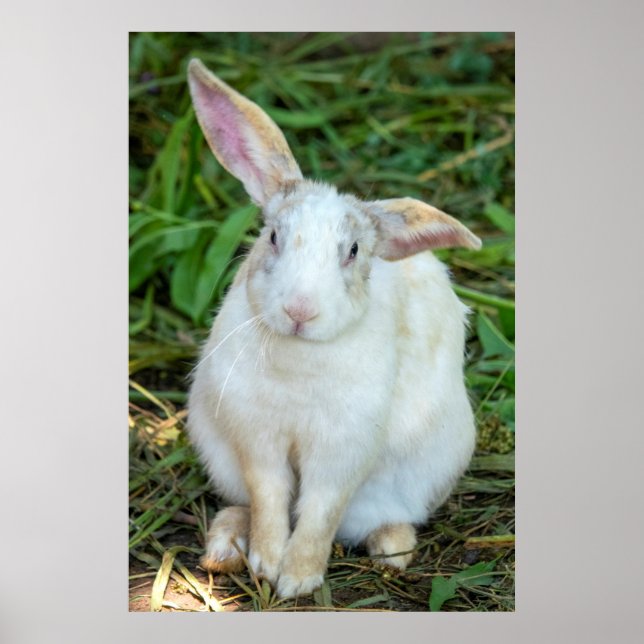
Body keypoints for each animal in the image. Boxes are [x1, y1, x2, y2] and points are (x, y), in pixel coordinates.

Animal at [185, 58, 482, 599]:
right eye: (273, 236)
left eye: (353, 252)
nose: (300, 310)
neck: (299, 356)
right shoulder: (257, 440)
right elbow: (270, 497)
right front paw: (266, 562)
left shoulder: (343, 451)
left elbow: (321, 512)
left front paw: (298, 580)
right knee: (242, 504)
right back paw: (225, 549)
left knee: (376, 520)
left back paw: (392, 551)